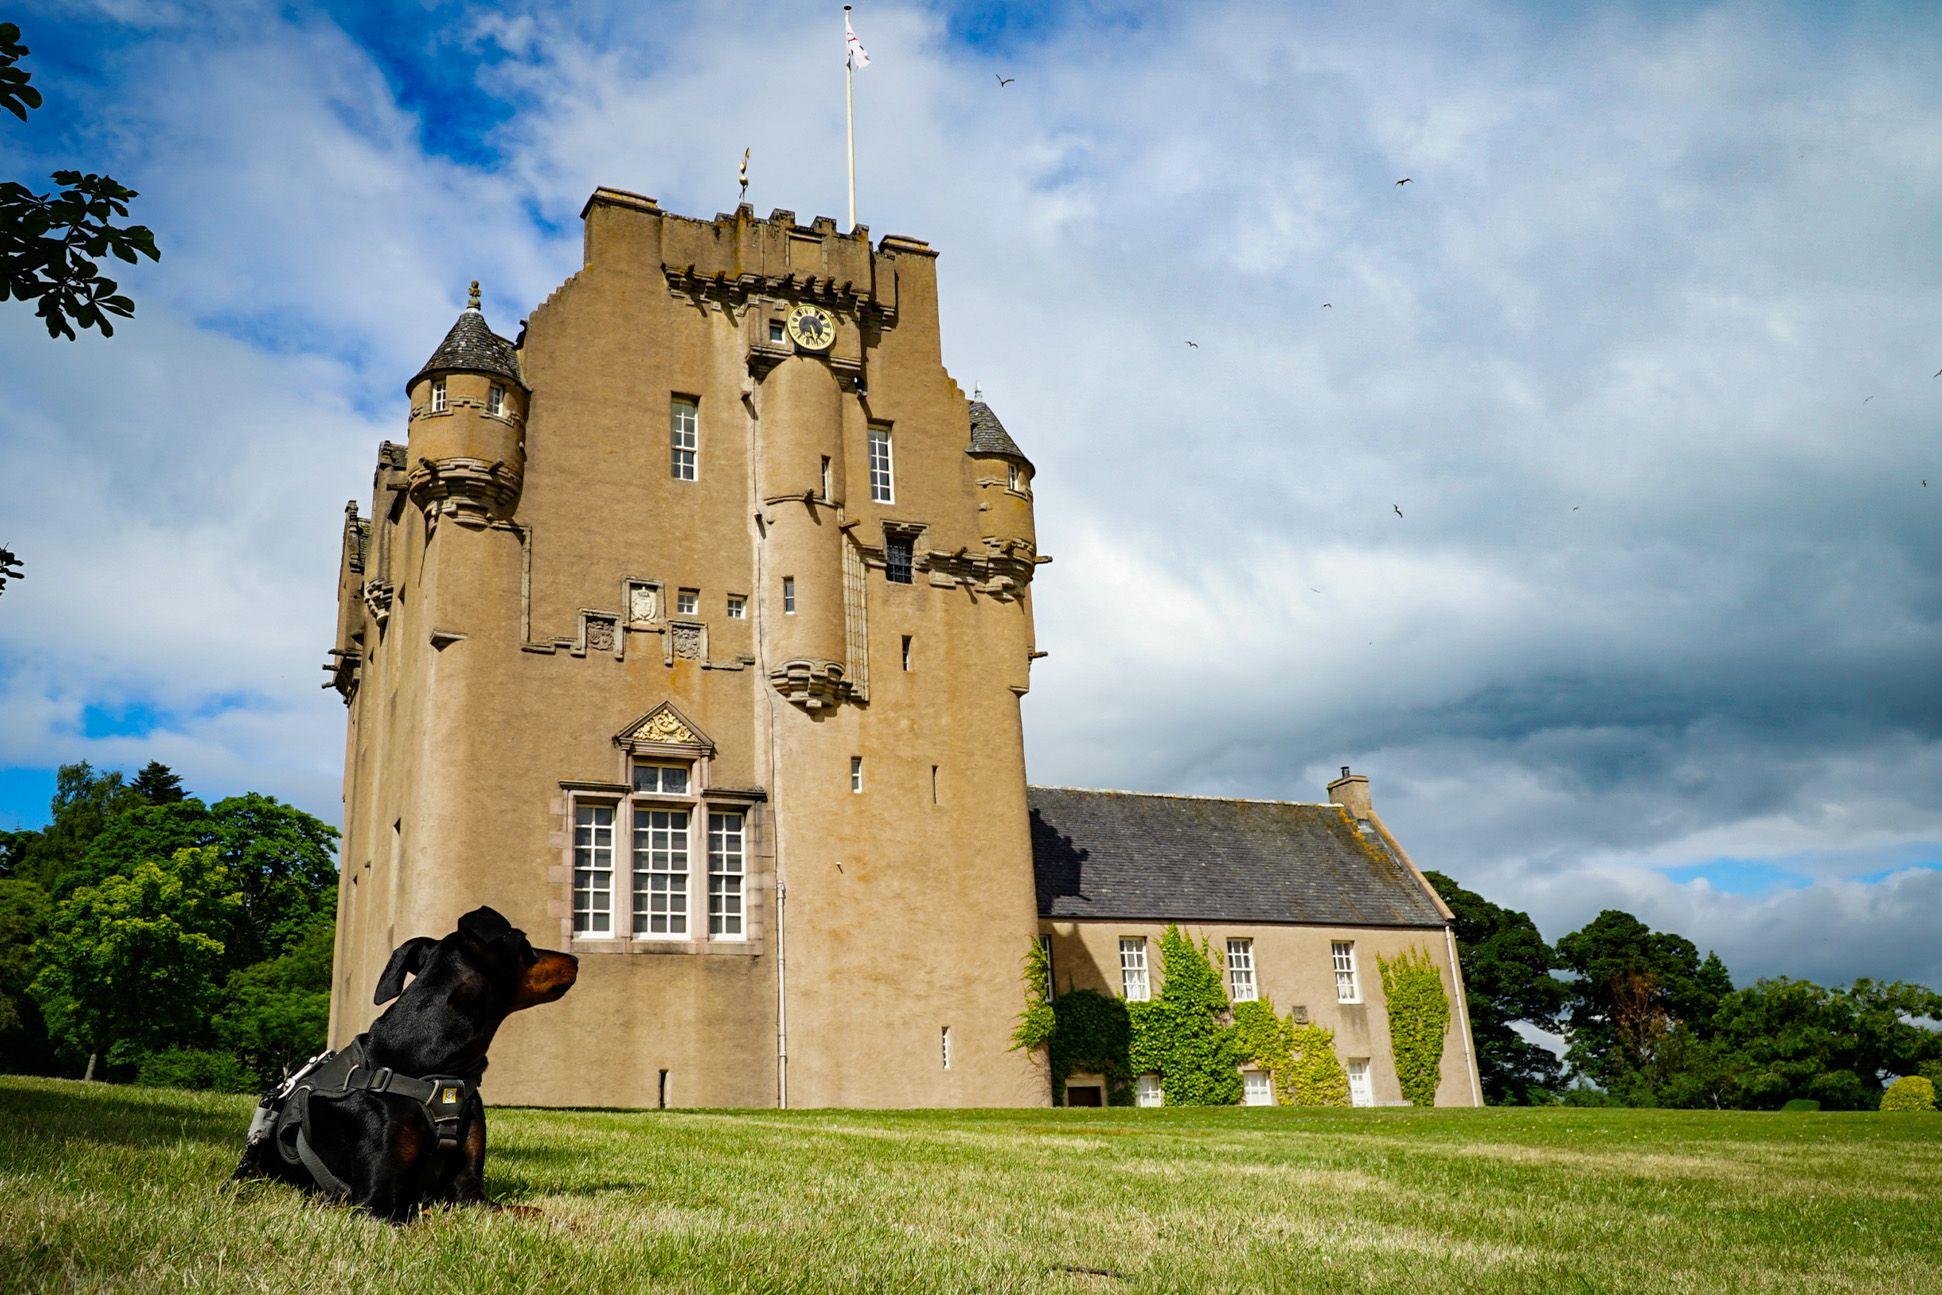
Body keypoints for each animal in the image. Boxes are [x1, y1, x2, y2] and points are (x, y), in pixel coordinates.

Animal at [229, 908, 574, 1219]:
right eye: (525, 943)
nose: (576, 960)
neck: (433, 1067)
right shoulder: (374, 1203)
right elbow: (417, 1216)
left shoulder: (470, 1192)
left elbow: (527, 1211)